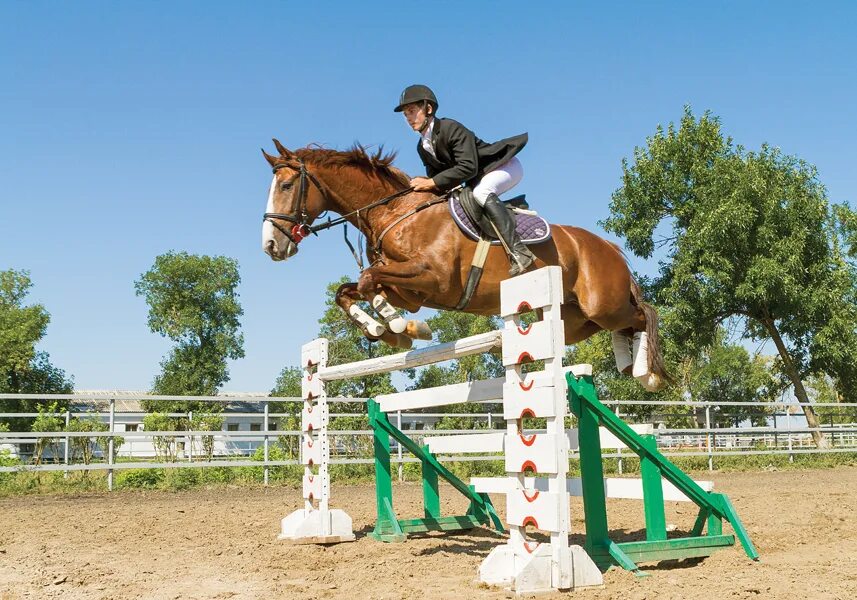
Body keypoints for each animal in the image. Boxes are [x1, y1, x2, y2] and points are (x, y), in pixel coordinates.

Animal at [260, 142, 668, 394]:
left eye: (287, 185)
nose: (270, 246)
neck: (393, 211)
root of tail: (608, 246)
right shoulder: (410, 290)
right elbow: (350, 291)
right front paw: (390, 329)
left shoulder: (435, 279)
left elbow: (366, 279)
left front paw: (397, 327)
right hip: (576, 319)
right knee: (621, 325)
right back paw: (629, 366)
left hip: (602, 304)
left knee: (642, 313)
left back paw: (645, 374)